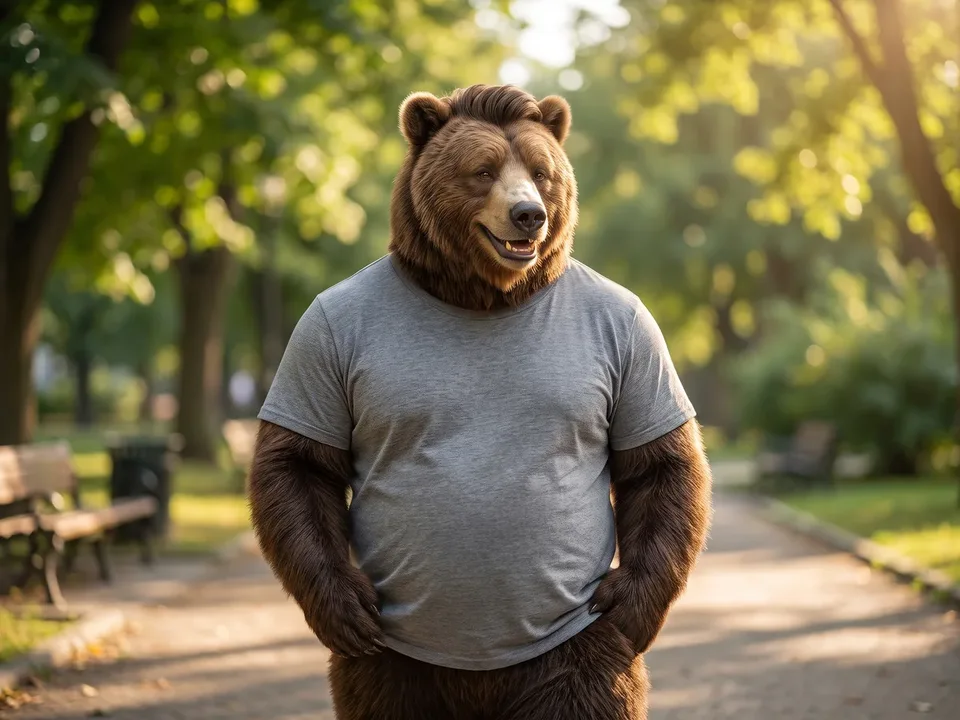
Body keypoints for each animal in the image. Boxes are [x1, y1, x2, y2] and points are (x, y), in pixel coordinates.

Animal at [248, 84, 712, 720]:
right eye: (484, 169)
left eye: (541, 173)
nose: (529, 214)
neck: (482, 295)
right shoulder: (323, 331)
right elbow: (300, 458)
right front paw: (344, 607)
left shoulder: (632, 331)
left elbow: (659, 458)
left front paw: (631, 603)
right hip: (398, 666)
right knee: (382, 693)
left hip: (566, 653)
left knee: (583, 683)